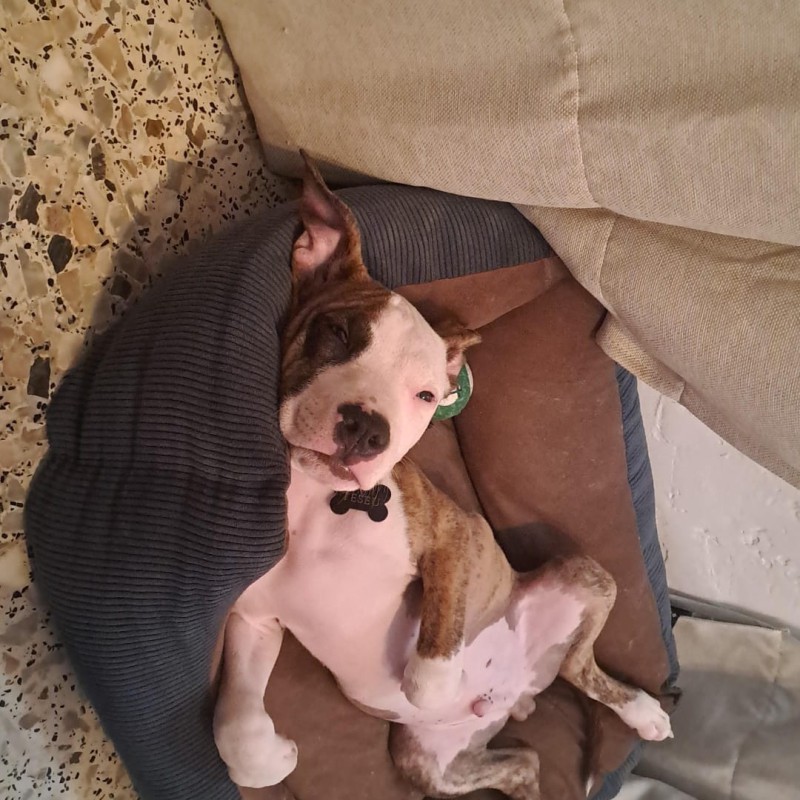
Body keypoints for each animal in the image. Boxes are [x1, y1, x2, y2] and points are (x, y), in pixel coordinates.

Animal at [213, 154, 673, 800]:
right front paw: (273, 757)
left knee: (582, 668)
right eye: (337, 333)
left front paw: (432, 678)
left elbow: (438, 634)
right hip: (430, 762)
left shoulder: (455, 532)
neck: (321, 503)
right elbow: (237, 733)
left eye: (426, 396)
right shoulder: (251, 616)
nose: (367, 428)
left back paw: (642, 711)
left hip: (583, 575)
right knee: (527, 756)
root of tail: (523, 691)